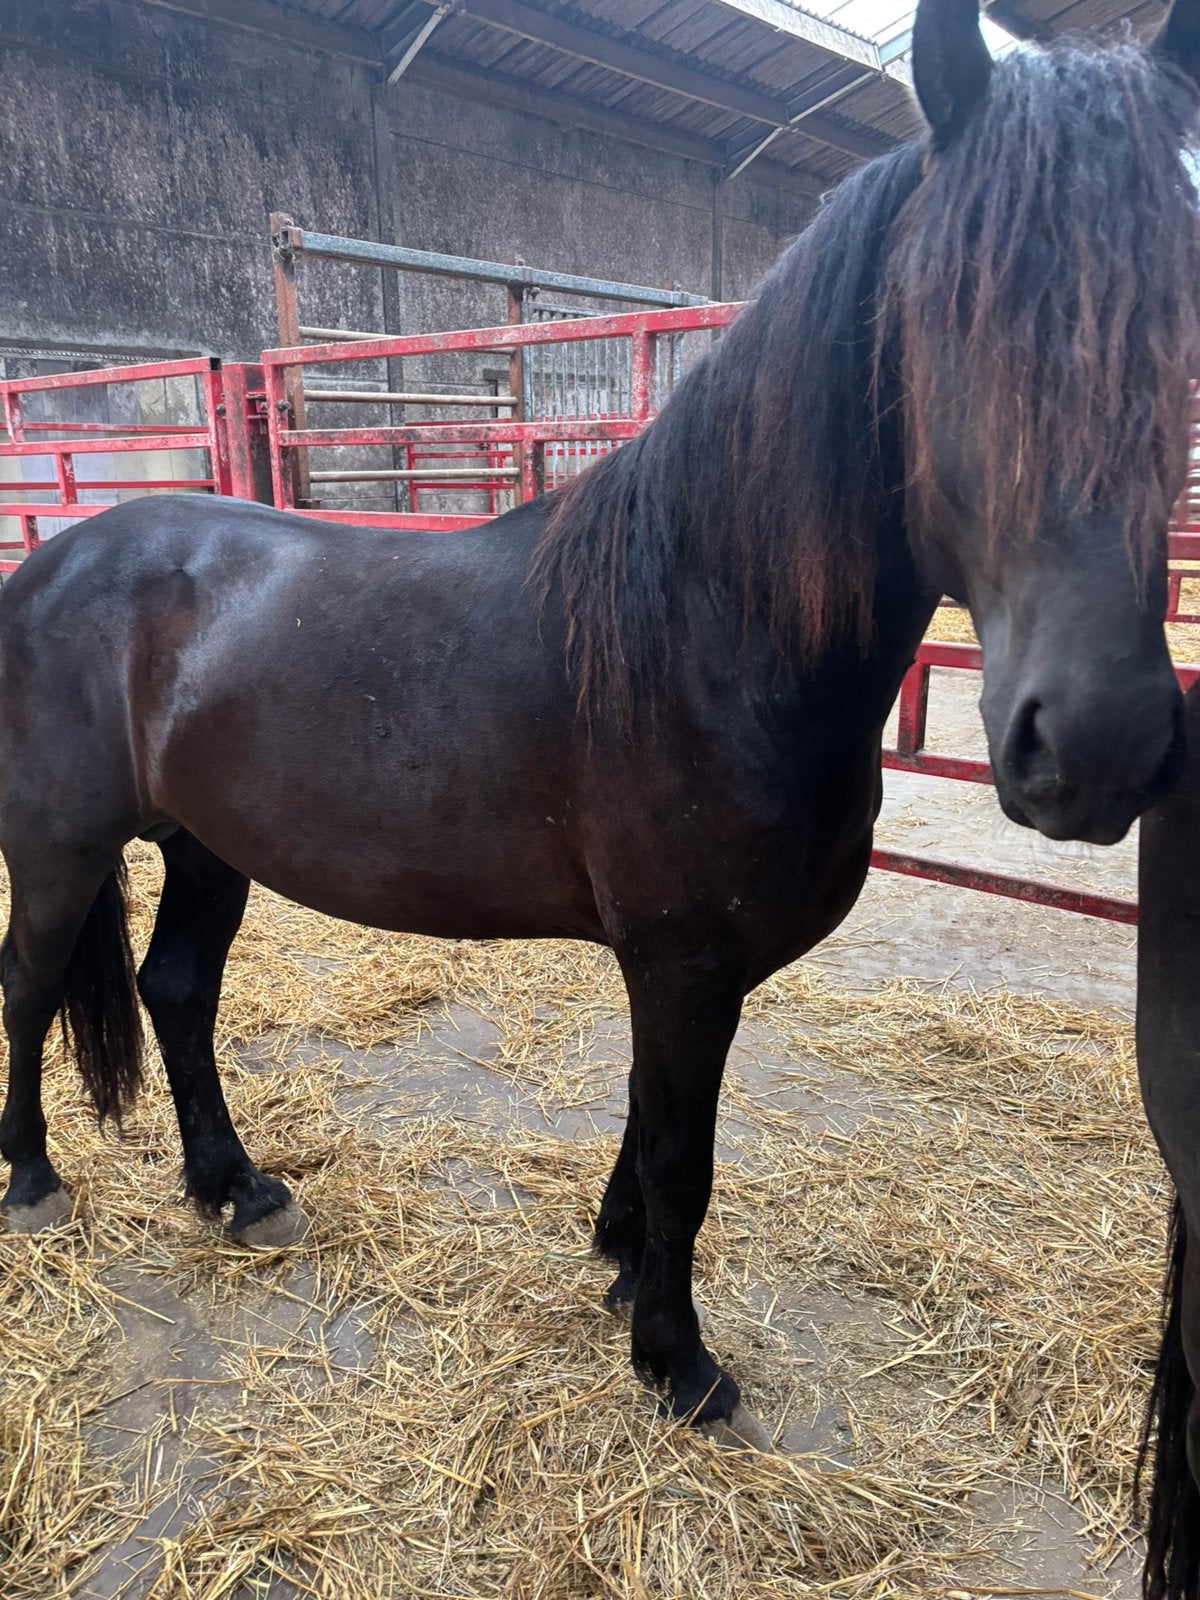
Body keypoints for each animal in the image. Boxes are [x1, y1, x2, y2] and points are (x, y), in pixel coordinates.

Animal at [3, 0, 1200, 1463]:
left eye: (1181, 327)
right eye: (950, 319)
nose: (1101, 742)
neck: (707, 626)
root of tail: (58, 560)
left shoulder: (681, 967)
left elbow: (647, 1122)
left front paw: (624, 1267)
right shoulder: (682, 960)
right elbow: (684, 1152)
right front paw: (677, 1359)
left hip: (205, 845)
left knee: (175, 992)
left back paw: (235, 1188)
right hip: (58, 846)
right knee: (24, 987)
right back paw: (32, 1182)